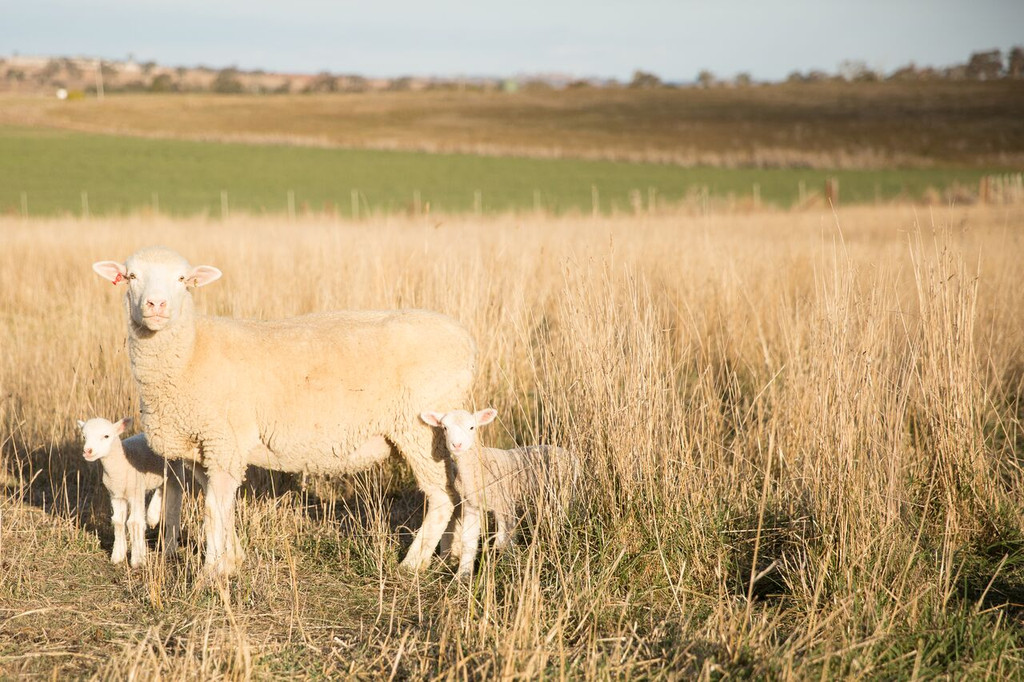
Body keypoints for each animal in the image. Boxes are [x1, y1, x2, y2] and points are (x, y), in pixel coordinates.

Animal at [77, 417, 205, 565]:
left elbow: (134, 522)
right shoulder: (116, 495)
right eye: (84, 436)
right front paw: (117, 556)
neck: (121, 463)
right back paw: (152, 516)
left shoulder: (136, 492)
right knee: (160, 489)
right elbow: (118, 522)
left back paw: (169, 548)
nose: (88, 451)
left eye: (106, 436)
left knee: (172, 512)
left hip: (175, 473)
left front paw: (137, 560)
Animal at [94, 244, 477, 573]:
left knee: (441, 497)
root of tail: (465, 339)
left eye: (182, 279)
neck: (191, 351)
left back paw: (412, 564)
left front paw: (213, 571)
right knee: (455, 492)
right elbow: (222, 506)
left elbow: (213, 509)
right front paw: (233, 559)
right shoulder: (205, 448)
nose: (156, 304)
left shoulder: (223, 440)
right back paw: (450, 552)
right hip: (441, 434)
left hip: (420, 427)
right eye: (131, 276)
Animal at [415, 405, 577, 577]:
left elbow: (507, 538)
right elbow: (468, 540)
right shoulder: (471, 505)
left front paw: (508, 564)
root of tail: (568, 453)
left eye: (472, 427)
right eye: (445, 428)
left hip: (564, 490)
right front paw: (463, 573)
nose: (457, 445)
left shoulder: (505, 504)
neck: (477, 465)